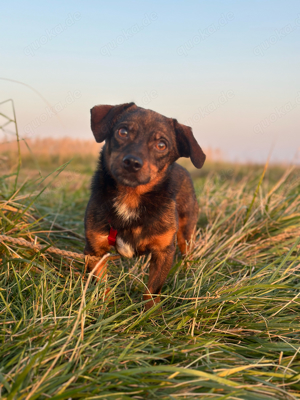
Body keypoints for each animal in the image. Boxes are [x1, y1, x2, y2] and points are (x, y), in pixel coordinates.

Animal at [84, 103, 206, 310]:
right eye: (123, 131)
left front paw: (151, 314)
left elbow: (152, 290)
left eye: (161, 145)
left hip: (185, 233)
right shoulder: (94, 251)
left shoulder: (164, 252)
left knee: (187, 253)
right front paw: (104, 308)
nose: (132, 162)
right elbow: (101, 284)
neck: (130, 198)